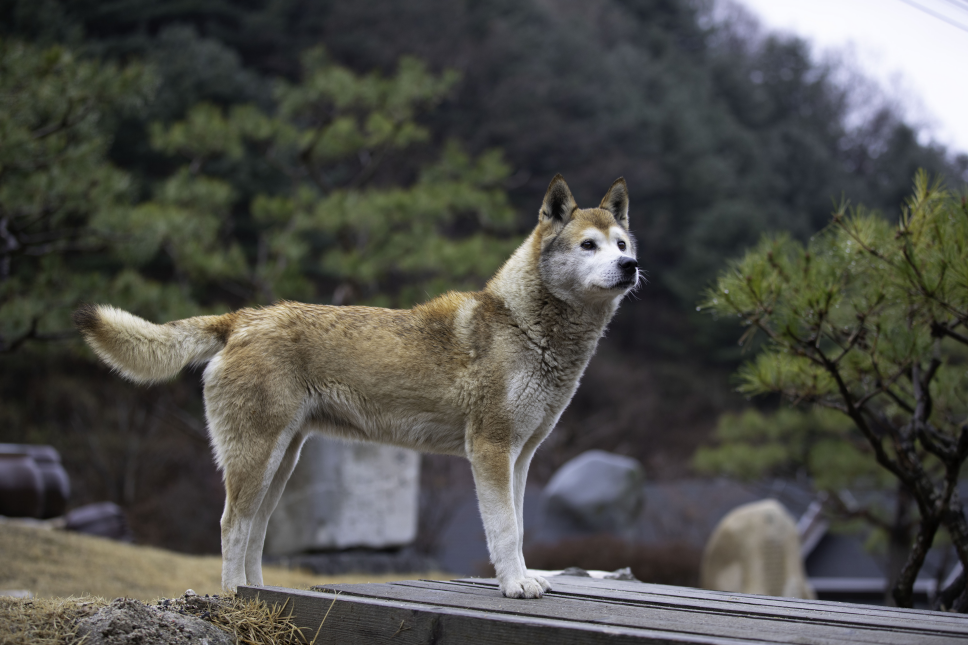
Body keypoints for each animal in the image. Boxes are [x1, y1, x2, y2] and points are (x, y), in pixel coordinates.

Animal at [72, 174, 640, 596]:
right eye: (588, 245)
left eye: (621, 243)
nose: (630, 265)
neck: (526, 327)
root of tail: (242, 318)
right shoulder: (491, 450)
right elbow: (504, 530)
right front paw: (516, 586)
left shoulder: (520, 456)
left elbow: (518, 528)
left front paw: (522, 578)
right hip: (257, 459)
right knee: (232, 526)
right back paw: (233, 595)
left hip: (282, 464)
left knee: (255, 531)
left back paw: (257, 594)